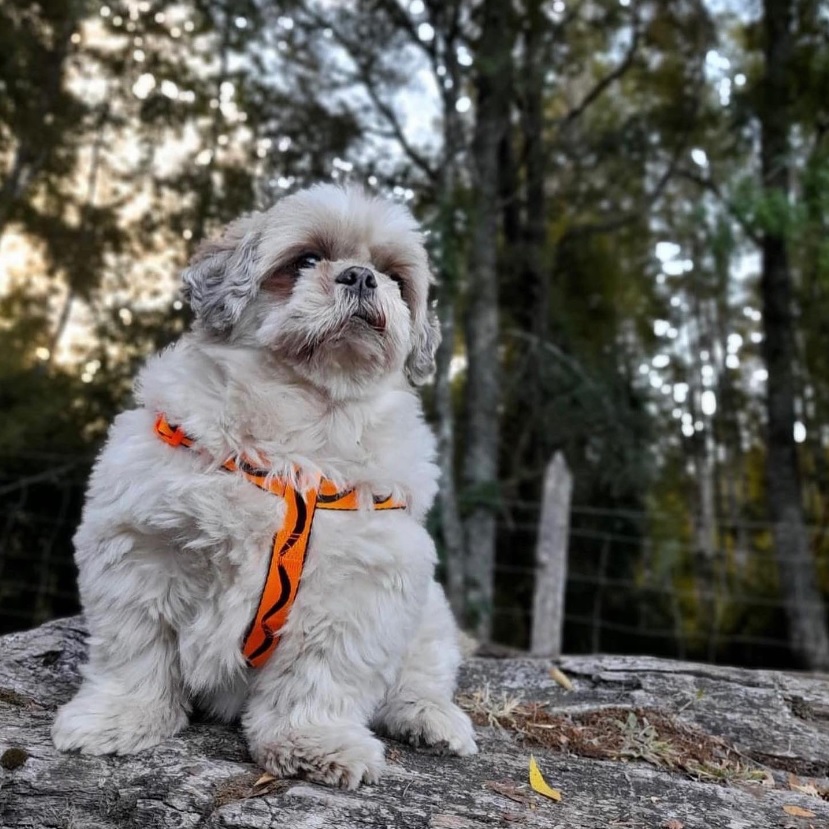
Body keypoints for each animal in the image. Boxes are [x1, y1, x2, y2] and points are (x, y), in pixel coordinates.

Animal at [51, 184, 476, 784]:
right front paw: (119, 718)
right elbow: (135, 651)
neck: (300, 424)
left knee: (421, 676)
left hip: (430, 617)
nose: (360, 276)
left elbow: (320, 678)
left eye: (395, 276)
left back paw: (432, 720)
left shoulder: (361, 584)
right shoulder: (143, 547)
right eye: (305, 260)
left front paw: (312, 743)